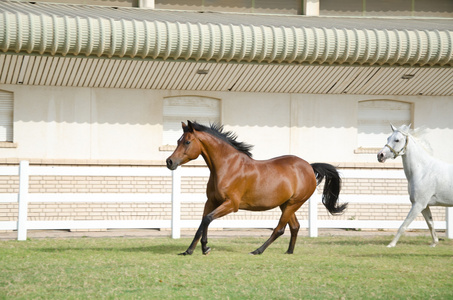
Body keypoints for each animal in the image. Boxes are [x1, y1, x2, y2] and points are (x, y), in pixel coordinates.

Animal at [166, 120, 346, 254]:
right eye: (178, 141)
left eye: (187, 141)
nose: (169, 162)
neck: (227, 166)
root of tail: (309, 166)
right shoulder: (211, 201)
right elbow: (202, 222)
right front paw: (193, 250)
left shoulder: (231, 204)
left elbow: (207, 219)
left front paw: (201, 248)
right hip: (286, 204)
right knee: (294, 227)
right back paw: (289, 252)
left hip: (294, 203)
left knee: (280, 229)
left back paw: (257, 250)